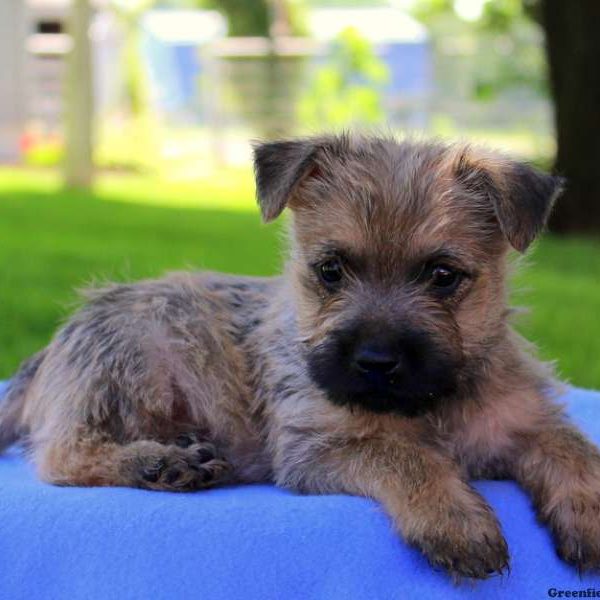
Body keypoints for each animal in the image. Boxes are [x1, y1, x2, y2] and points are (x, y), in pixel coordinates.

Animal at [1, 135, 600, 576]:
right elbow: (407, 457)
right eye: (330, 270)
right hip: (135, 355)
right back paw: (161, 462)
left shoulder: (526, 420)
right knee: (60, 454)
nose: (376, 361)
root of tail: (50, 351)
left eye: (443, 275)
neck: (431, 405)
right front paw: (456, 520)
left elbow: (575, 451)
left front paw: (590, 515)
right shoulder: (318, 446)